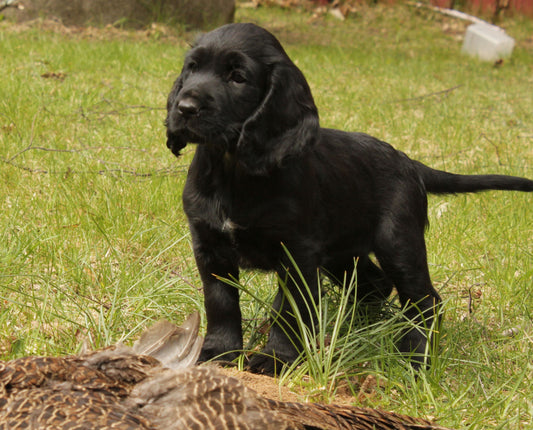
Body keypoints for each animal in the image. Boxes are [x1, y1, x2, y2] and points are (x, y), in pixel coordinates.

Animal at [165, 22, 532, 372]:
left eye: (238, 77)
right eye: (192, 67)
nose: (184, 108)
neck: (233, 170)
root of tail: (410, 163)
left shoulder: (297, 253)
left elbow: (289, 310)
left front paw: (277, 358)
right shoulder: (210, 248)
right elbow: (221, 303)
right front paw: (219, 353)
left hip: (397, 243)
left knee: (424, 301)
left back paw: (416, 360)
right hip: (341, 254)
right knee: (376, 285)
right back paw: (357, 329)